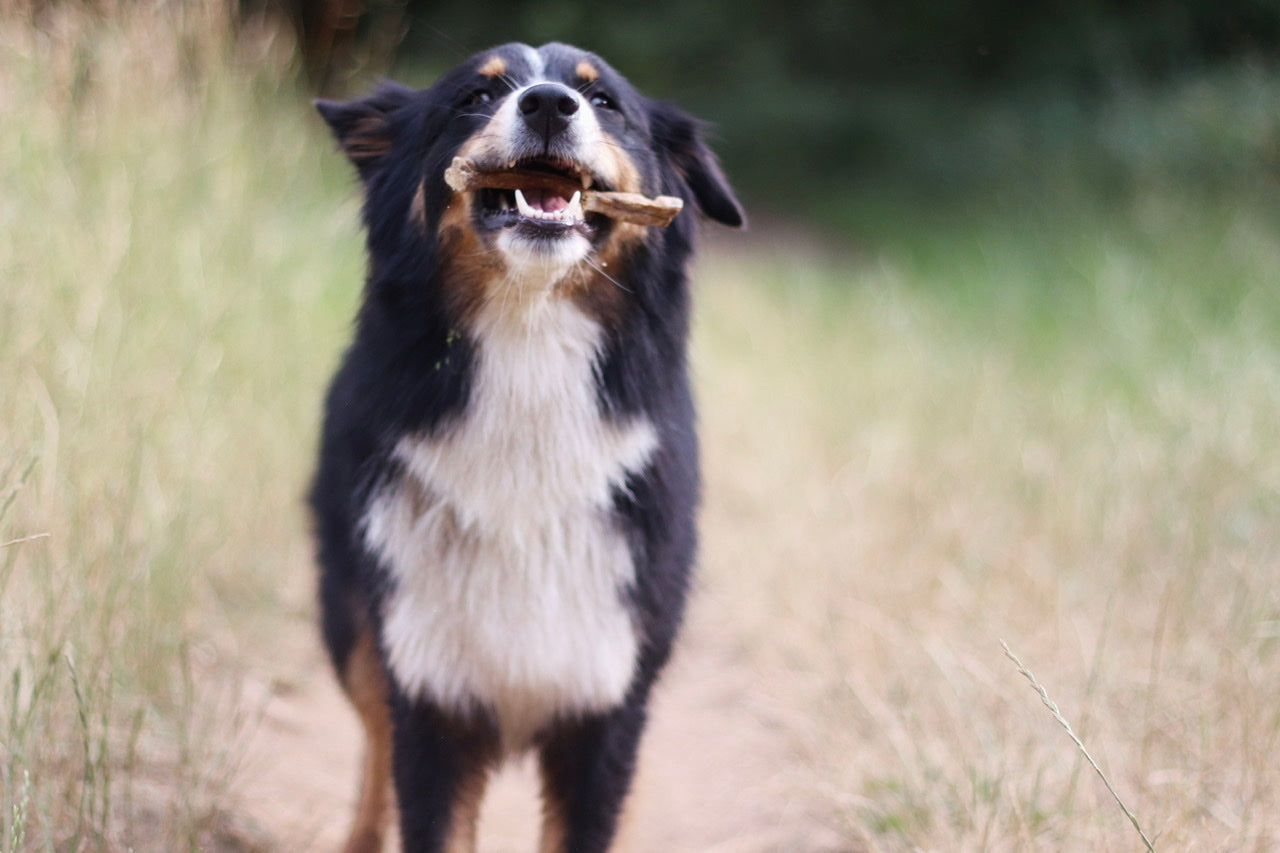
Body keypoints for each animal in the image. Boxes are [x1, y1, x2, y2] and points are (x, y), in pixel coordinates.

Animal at [309, 41, 747, 850]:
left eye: (604, 101)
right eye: (474, 98)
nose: (547, 104)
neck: (529, 343)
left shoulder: (605, 701)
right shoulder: (432, 694)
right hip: (351, 624)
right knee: (373, 739)